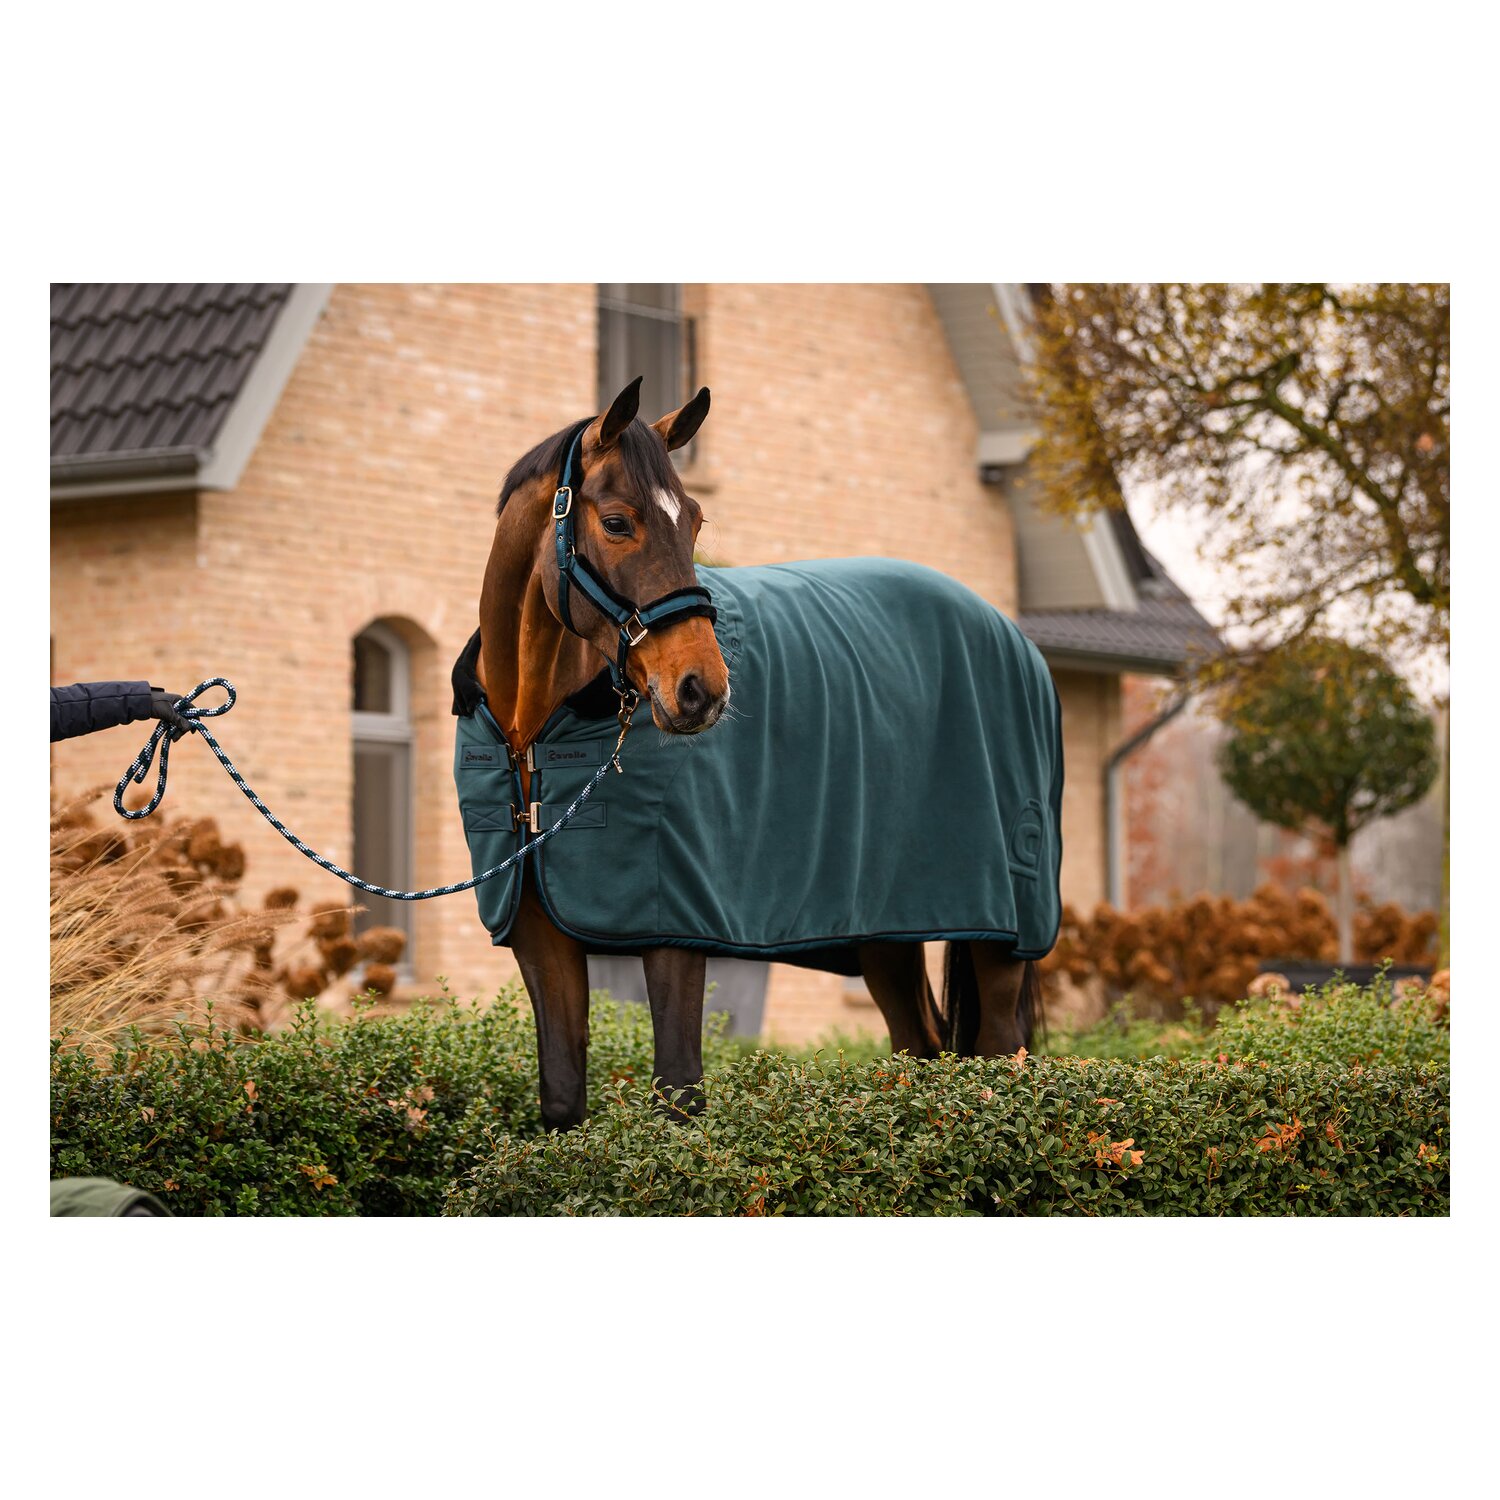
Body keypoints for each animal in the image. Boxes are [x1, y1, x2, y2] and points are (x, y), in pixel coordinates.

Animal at [453, 377, 1057, 1133]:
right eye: (617, 523)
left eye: (695, 522)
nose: (701, 690)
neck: (533, 740)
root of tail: (1016, 638)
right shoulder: (540, 935)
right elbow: (564, 1101)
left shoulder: (675, 928)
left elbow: (679, 1094)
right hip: (886, 936)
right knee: (917, 1045)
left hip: (1004, 933)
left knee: (1001, 1052)